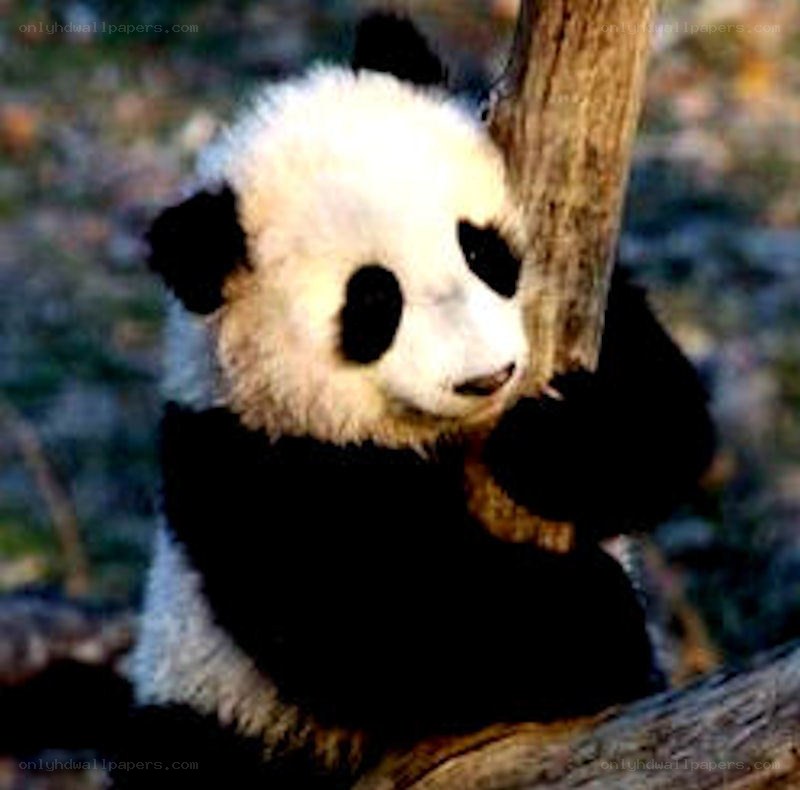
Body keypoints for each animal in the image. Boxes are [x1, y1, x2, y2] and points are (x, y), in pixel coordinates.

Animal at [119, 13, 714, 789]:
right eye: (375, 303)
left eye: (481, 250)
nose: (489, 376)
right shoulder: (246, 462)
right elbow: (387, 621)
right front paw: (598, 617)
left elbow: (667, 417)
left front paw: (559, 439)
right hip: (210, 712)